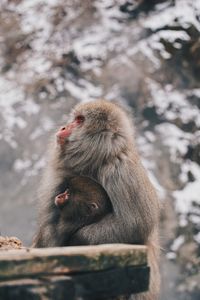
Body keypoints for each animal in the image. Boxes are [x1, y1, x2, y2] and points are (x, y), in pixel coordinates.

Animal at [33, 100, 160, 298]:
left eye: (79, 120)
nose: (64, 127)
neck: (99, 157)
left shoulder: (120, 170)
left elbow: (134, 224)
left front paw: (78, 240)